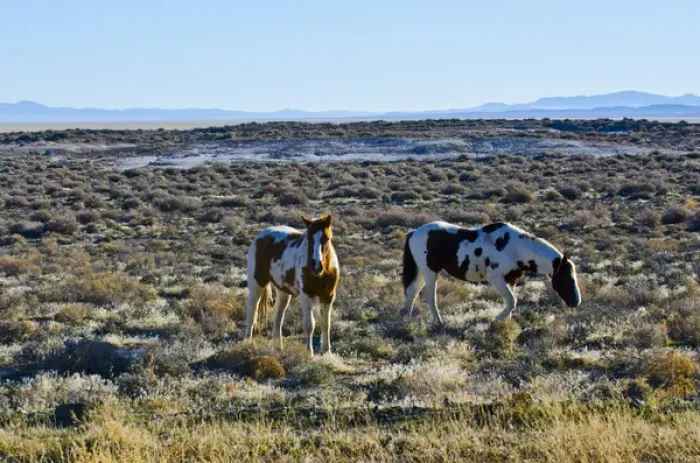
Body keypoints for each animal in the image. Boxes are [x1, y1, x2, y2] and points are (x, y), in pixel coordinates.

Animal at [244, 214, 339, 355]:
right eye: (308, 238)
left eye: (326, 238)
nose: (316, 265)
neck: (323, 273)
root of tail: (262, 235)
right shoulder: (306, 295)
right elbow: (309, 325)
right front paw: (309, 353)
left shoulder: (328, 296)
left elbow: (325, 324)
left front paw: (327, 353)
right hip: (257, 284)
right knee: (252, 310)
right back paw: (247, 342)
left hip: (283, 292)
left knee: (278, 318)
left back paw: (278, 348)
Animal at [402, 221, 581, 325]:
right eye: (567, 278)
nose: (576, 302)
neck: (515, 248)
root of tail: (414, 232)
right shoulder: (496, 279)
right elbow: (512, 301)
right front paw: (496, 320)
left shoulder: (511, 280)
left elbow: (510, 302)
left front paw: (505, 323)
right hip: (430, 272)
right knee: (429, 297)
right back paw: (439, 322)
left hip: (423, 272)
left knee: (411, 293)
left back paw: (406, 319)